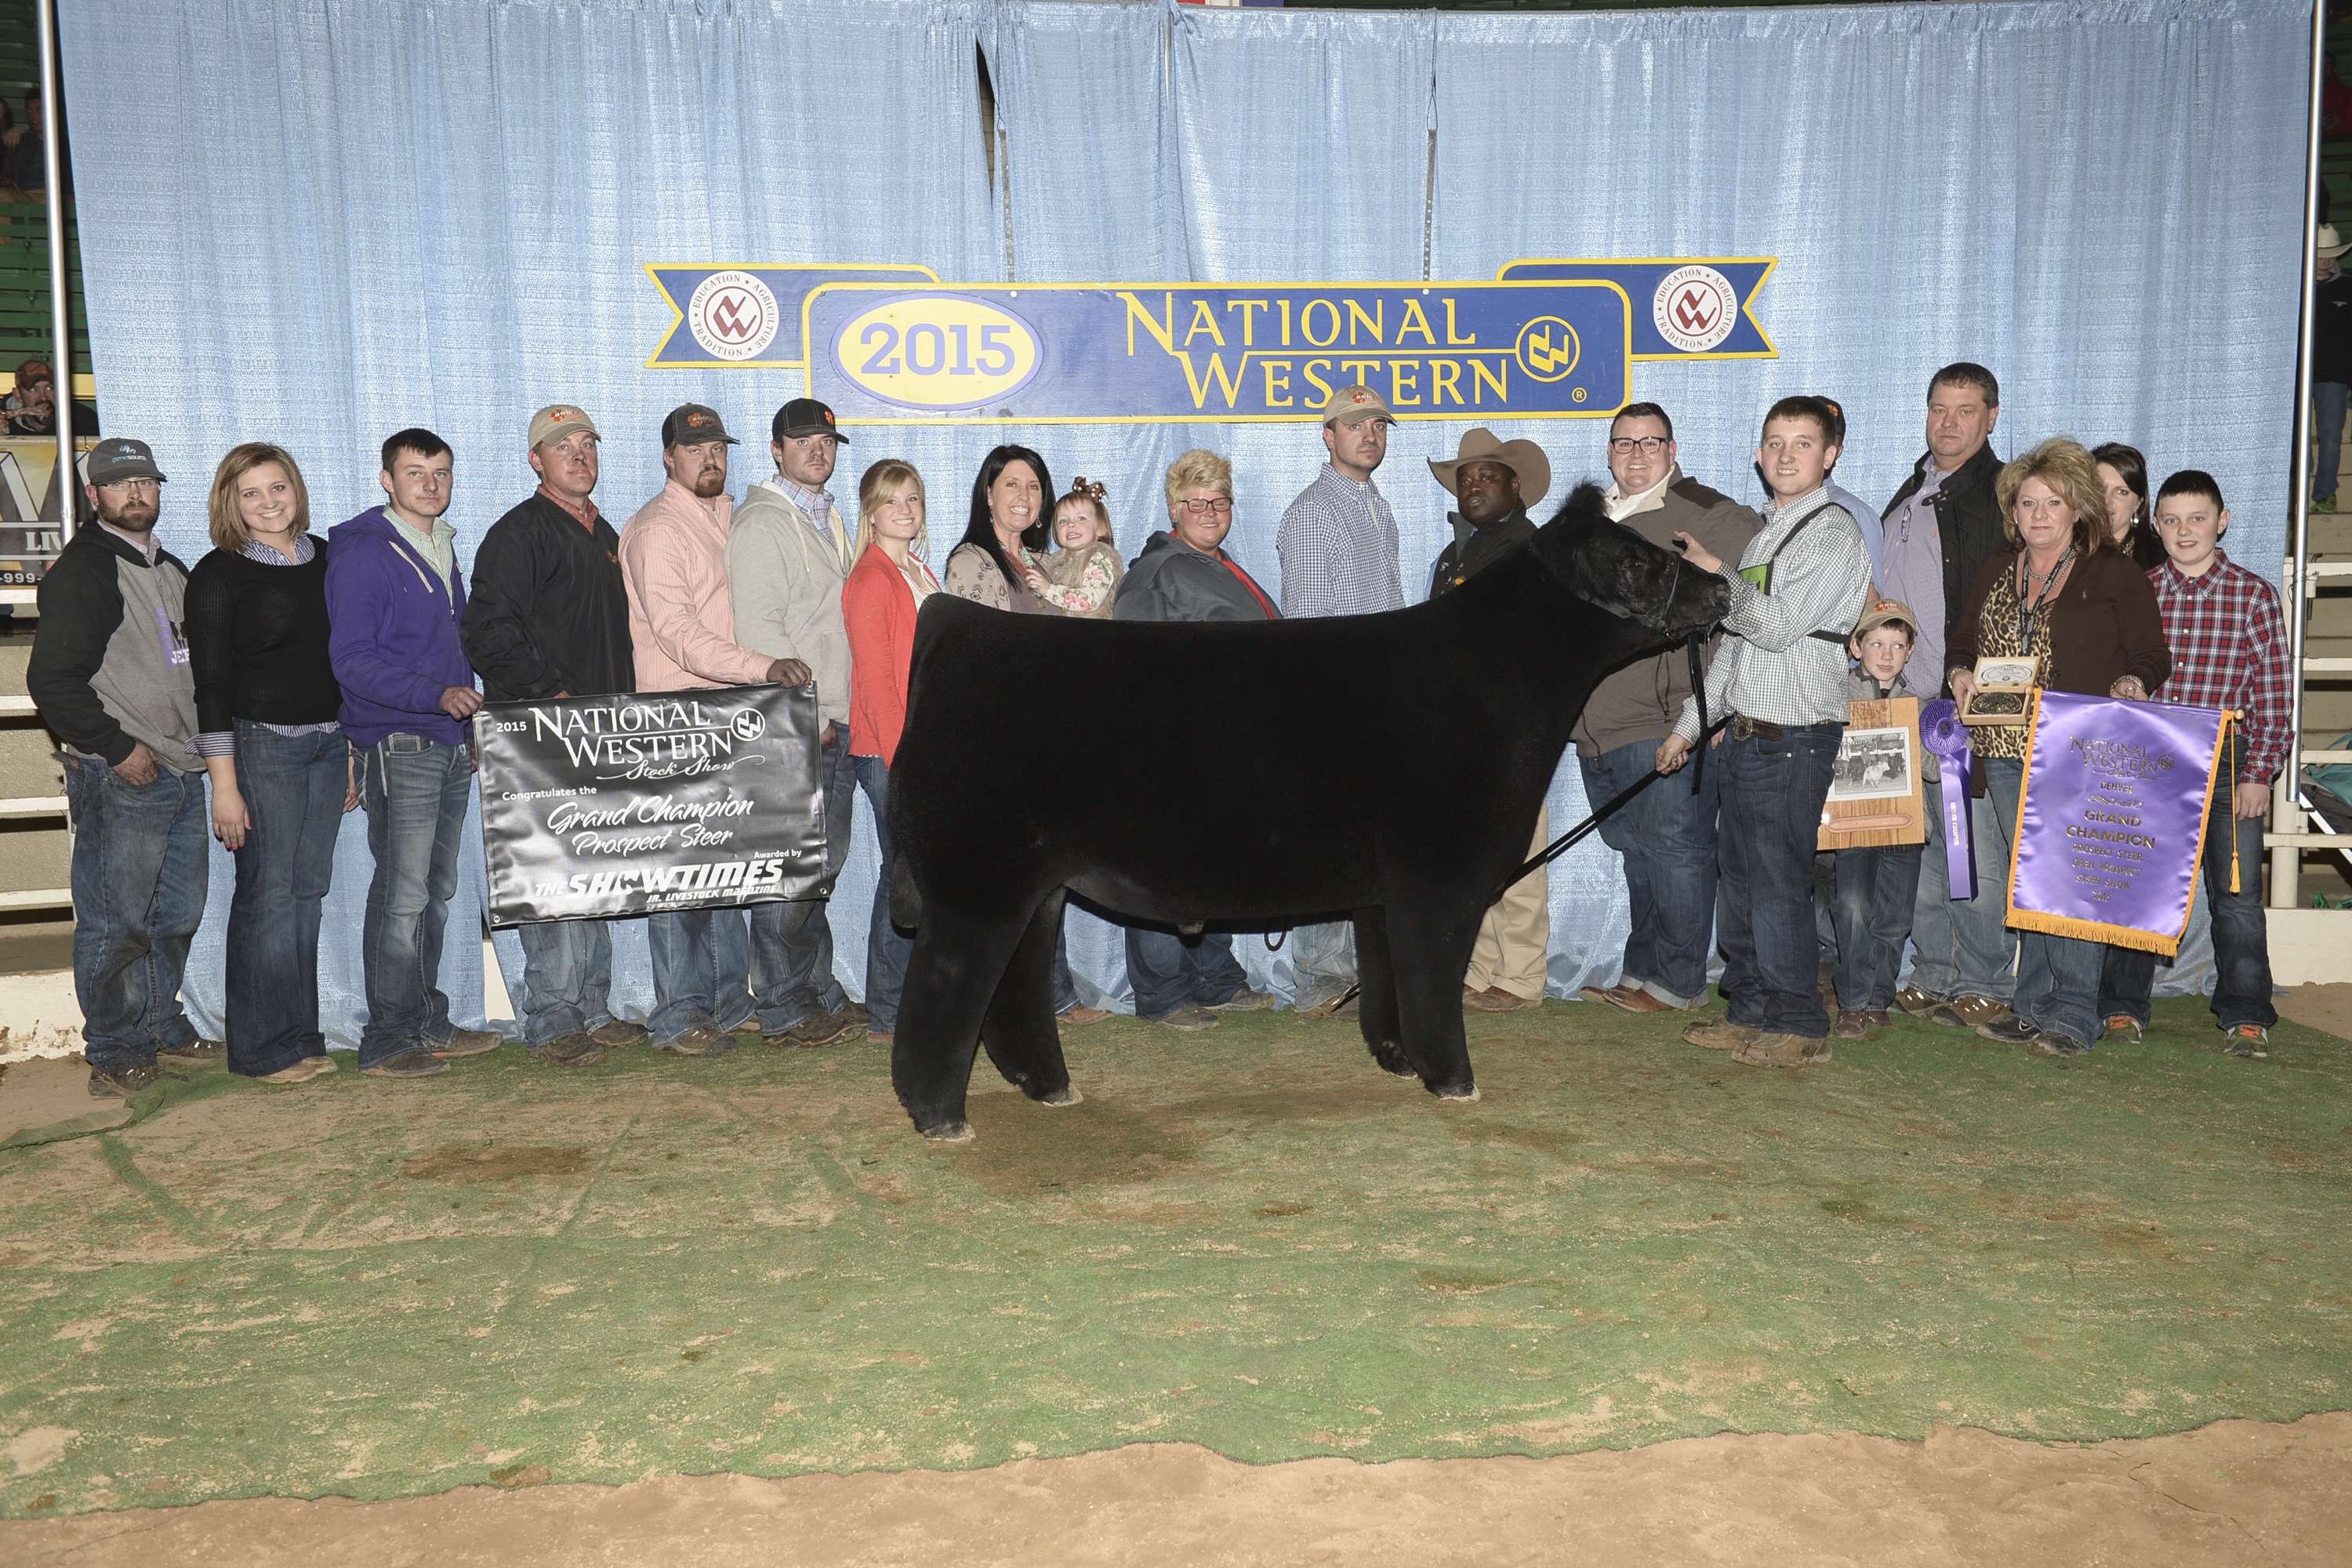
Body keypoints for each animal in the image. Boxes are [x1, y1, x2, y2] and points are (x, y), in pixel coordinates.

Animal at [883, 482, 1732, 1141]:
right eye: (1639, 560)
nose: (1723, 588)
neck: (1500, 677)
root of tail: (959, 621)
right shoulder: (1442, 879)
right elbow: (1432, 984)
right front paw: (1454, 1078)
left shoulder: (1387, 890)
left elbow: (1387, 981)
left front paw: (1398, 1060)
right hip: (977, 887)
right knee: (943, 991)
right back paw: (939, 1116)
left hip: (1038, 887)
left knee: (1017, 987)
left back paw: (1050, 1087)